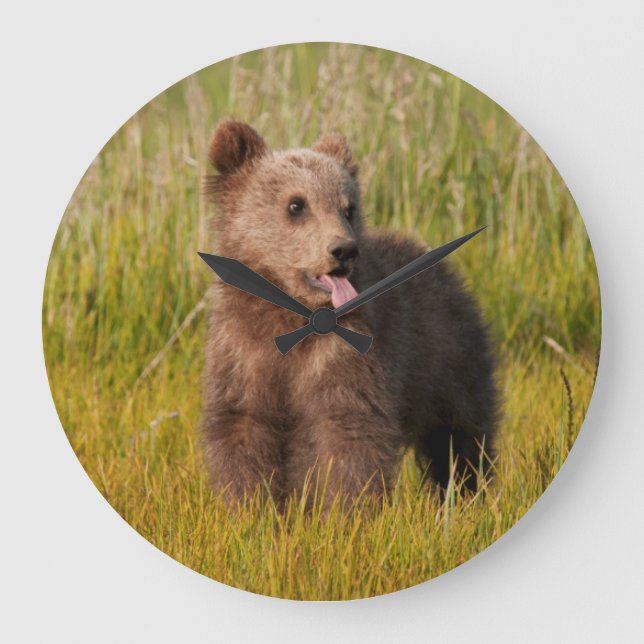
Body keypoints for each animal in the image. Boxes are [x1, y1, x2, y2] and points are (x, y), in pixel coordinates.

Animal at [201, 119, 499, 510]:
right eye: (296, 204)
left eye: (348, 207)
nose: (343, 250)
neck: (295, 316)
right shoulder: (242, 352)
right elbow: (242, 427)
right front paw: (249, 508)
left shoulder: (348, 354)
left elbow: (347, 432)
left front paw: (345, 511)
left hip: (447, 359)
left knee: (459, 435)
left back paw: (468, 493)